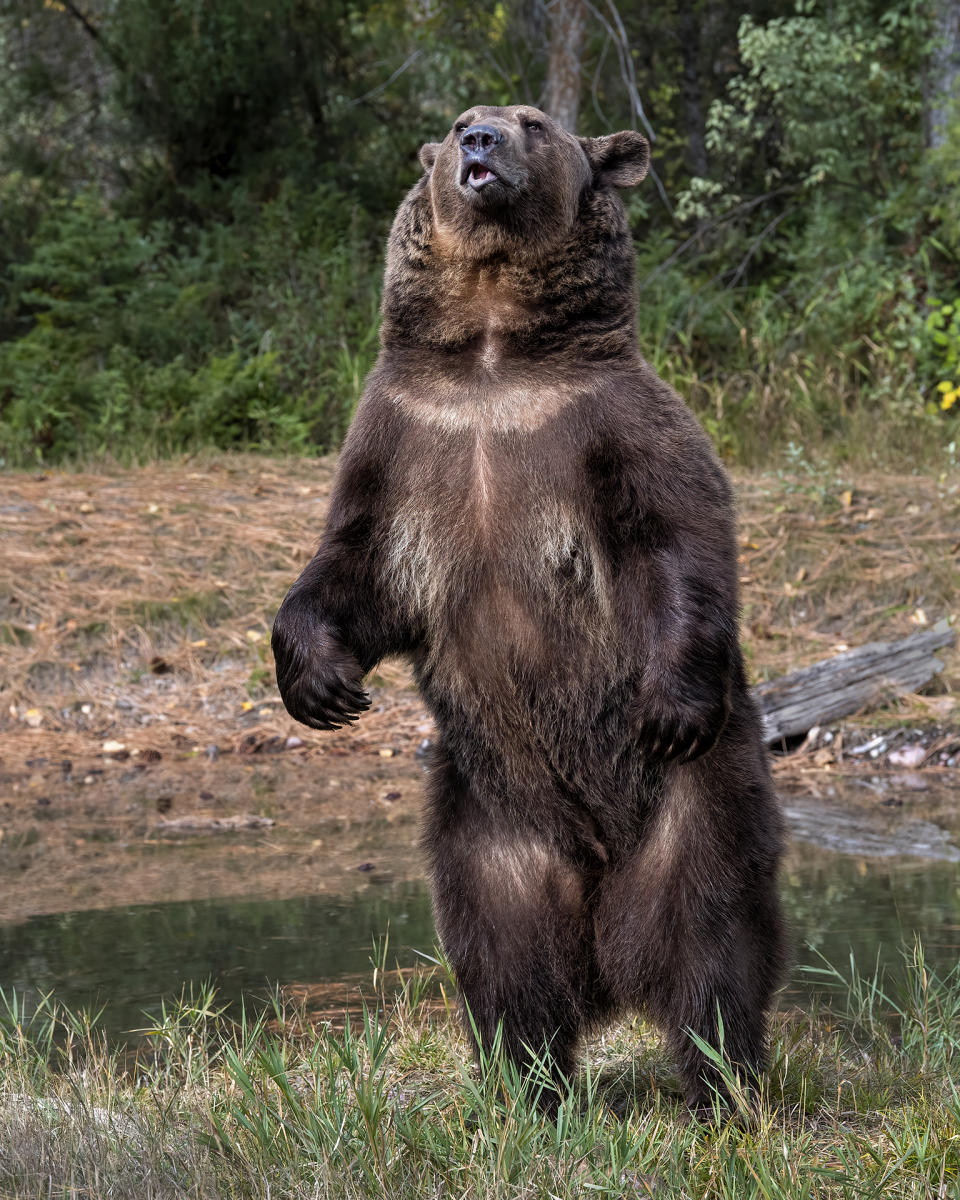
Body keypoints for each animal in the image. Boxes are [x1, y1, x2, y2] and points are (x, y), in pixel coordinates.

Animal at [272, 108, 787, 1108]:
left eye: (534, 123)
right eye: (455, 122)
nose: (479, 140)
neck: (492, 356)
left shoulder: (607, 426)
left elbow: (680, 538)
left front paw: (670, 701)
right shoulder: (403, 437)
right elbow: (354, 562)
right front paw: (320, 683)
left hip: (695, 797)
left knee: (711, 937)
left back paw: (725, 1089)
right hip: (489, 815)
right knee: (506, 958)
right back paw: (526, 1086)